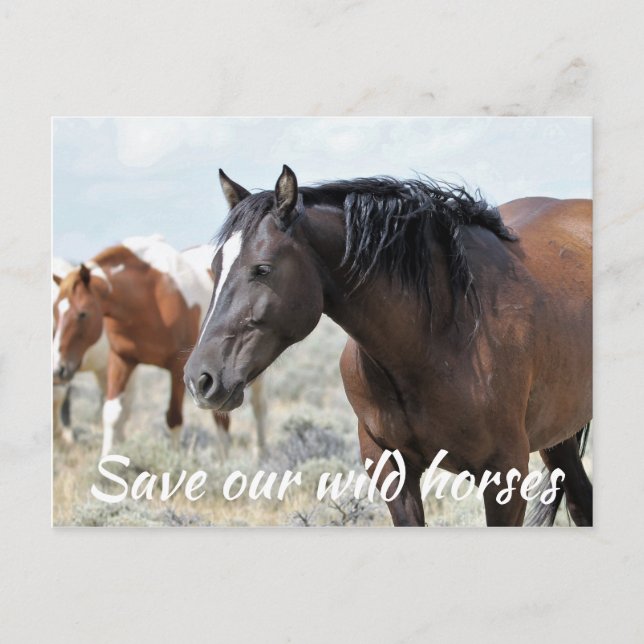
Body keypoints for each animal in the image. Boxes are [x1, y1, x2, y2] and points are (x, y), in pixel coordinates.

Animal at [53, 236, 266, 457]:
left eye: (83, 314)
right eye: (55, 312)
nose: (58, 369)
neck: (149, 298)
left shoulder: (178, 369)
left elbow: (174, 419)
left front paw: (175, 460)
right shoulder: (122, 360)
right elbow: (112, 412)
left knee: (257, 406)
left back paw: (259, 453)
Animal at [184, 166, 592, 527]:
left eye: (263, 269)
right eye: (216, 267)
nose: (199, 379)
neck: (439, 339)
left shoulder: (505, 475)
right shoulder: (391, 468)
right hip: (557, 437)